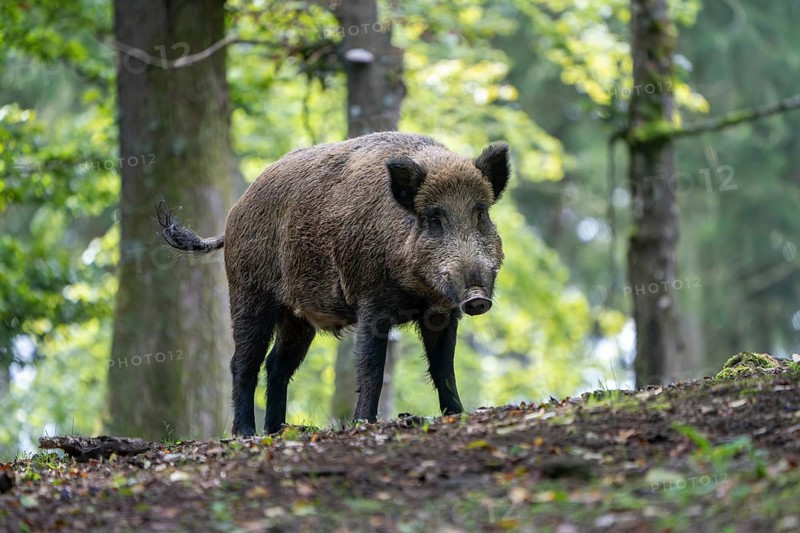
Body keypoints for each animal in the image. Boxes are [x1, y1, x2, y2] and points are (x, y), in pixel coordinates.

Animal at [157, 132, 509, 436]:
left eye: (480, 213)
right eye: (434, 218)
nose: (477, 297)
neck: (416, 292)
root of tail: (234, 213)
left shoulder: (442, 312)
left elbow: (443, 369)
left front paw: (457, 415)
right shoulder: (371, 302)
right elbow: (372, 368)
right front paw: (363, 423)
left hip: (297, 318)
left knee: (277, 364)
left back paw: (278, 430)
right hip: (248, 294)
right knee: (243, 362)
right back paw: (245, 433)